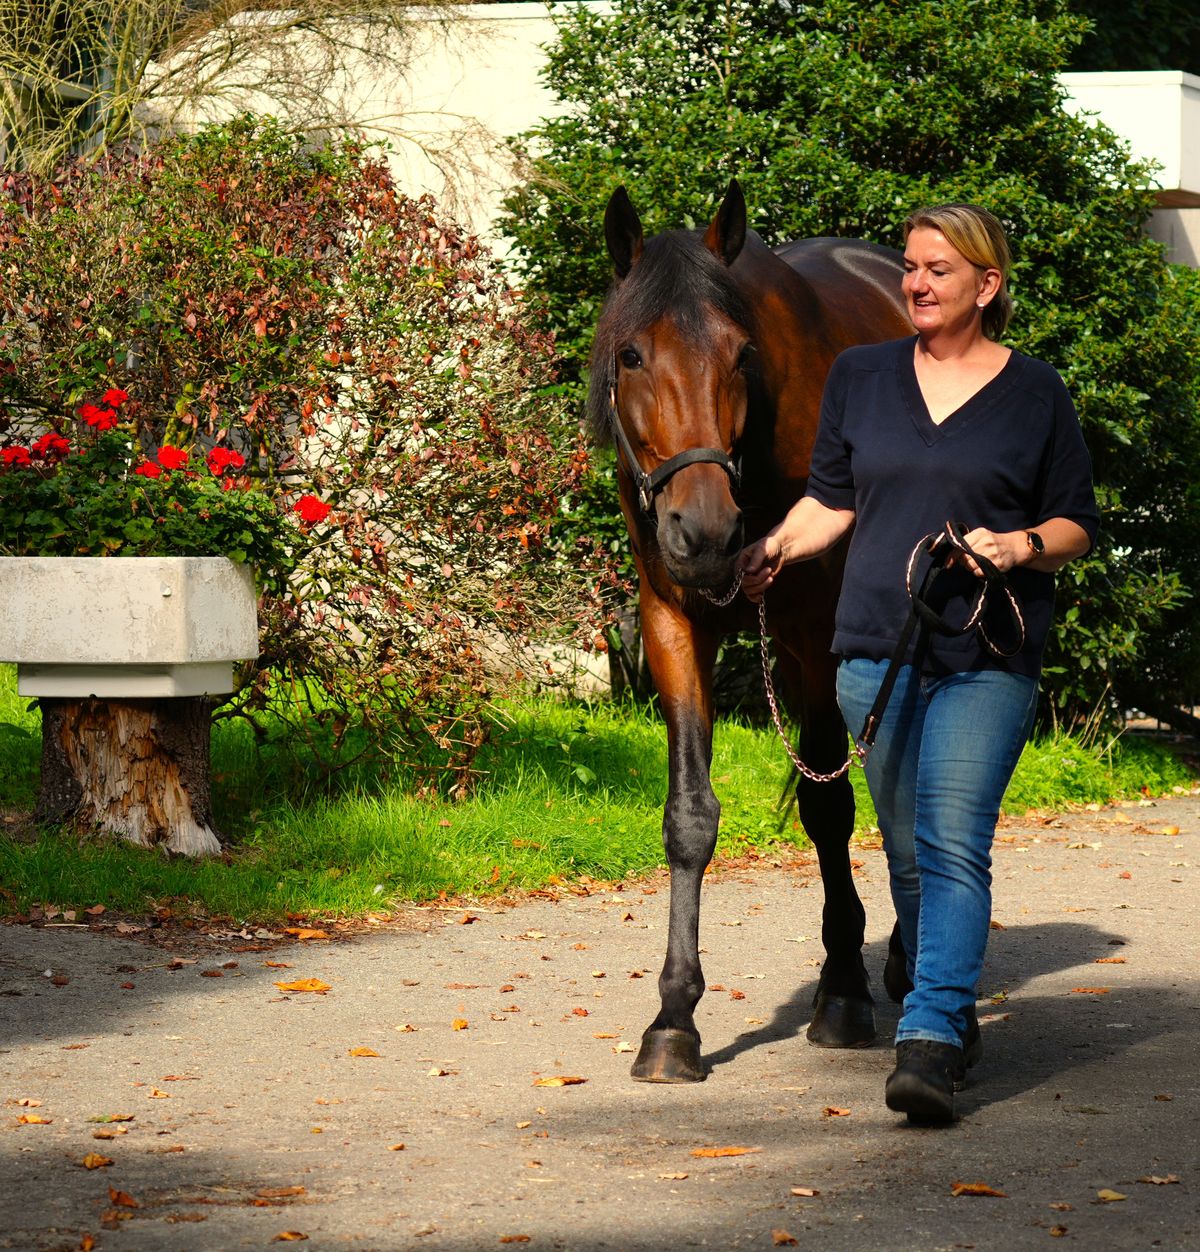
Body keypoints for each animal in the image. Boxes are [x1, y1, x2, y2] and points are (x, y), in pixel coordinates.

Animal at [591, 180, 914, 1083]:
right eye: (632, 355)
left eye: (742, 355)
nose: (704, 531)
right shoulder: (672, 623)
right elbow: (689, 816)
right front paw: (674, 1019)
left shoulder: (816, 632)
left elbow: (829, 806)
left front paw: (841, 994)